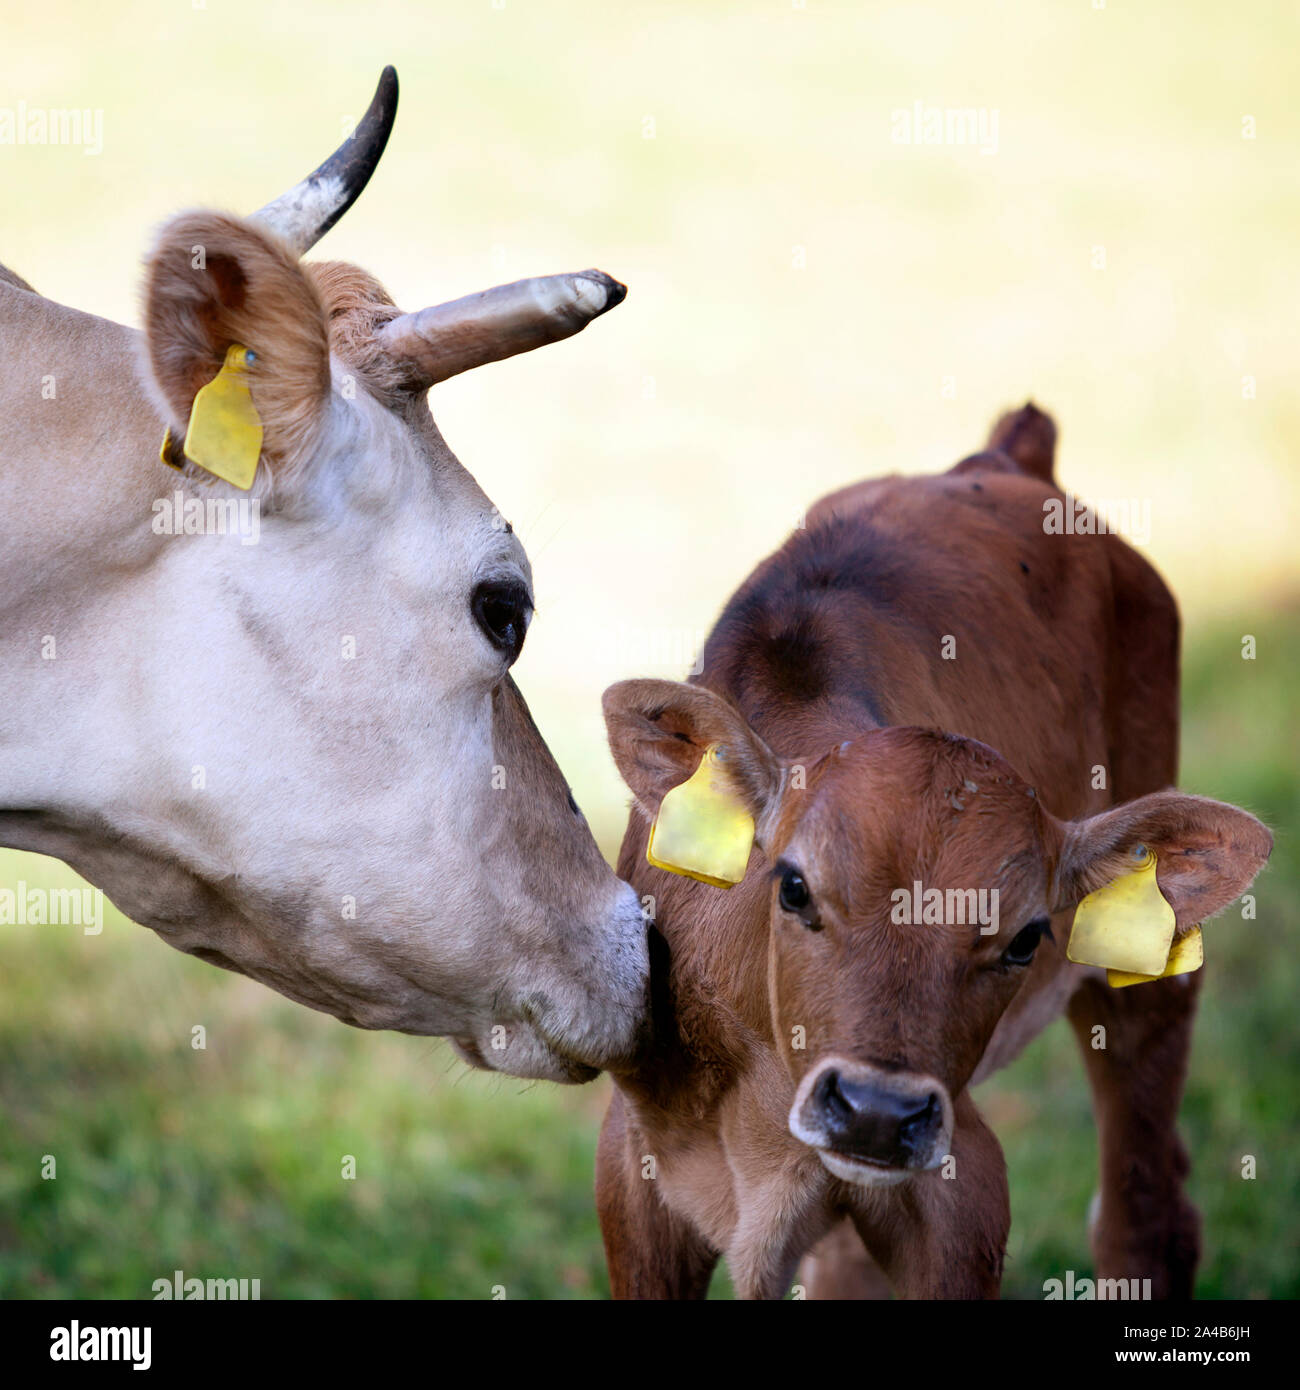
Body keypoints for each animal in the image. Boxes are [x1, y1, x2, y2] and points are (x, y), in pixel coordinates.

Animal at [596, 403, 1271, 1298]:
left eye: (1026, 937)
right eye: (794, 887)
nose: (878, 1114)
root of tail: (1007, 458)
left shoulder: (963, 1183)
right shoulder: (635, 1165)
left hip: (1147, 977)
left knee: (1147, 1214)